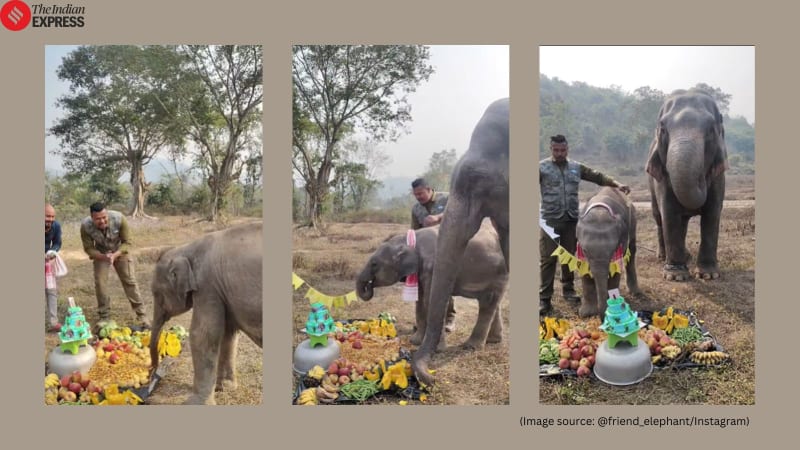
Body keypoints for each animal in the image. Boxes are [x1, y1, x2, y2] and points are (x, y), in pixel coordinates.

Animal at [149, 221, 262, 405]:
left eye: (156, 293)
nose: (152, 372)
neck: (186, 248)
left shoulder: (207, 286)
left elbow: (202, 335)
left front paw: (194, 403)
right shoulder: (221, 291)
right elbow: (227, 334)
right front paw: (224, 388)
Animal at [355, 219, 508, 351]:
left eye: (374, 264)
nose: (368, 287)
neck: (409, 240)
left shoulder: (433, 268)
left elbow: (430, 301)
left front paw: (436, 349)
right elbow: (419, 301)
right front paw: (415, 342)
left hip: (499, 273)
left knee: (488, 303)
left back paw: (471, 347)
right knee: (492, 302)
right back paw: (493, 341)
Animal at [575, 187, 641, 318]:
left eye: (613, 250)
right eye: (585, 251)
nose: (602, 316)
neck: (600, 210)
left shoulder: (622, 238)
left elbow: (616, 267)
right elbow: (583, 267)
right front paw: (586, 313)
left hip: (633, 224)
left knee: (632, 252)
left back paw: (635, 292)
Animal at [645, 89, 728, 281]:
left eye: (711, 130)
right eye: (663, 129)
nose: (702, 178)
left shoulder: (719, 178)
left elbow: (712, 213)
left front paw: (709, 274)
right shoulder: (662, 179)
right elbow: (669, 213)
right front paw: (676, 276)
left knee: (683, 222)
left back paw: (687, 256)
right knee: (659, 217)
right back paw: (663, 256)